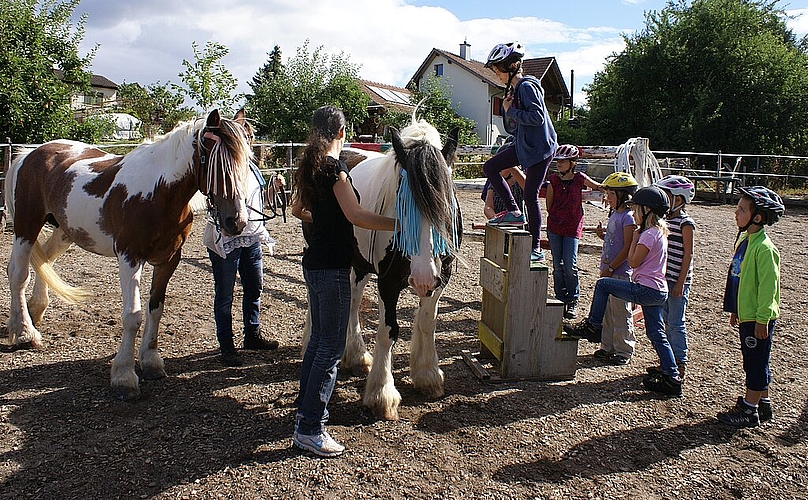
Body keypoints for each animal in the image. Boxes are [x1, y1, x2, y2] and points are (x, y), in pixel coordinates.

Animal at [4, 108, 252, 398]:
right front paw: (124, 374)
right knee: (17, 273)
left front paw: (151, 361)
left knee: (45, 259)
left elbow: (156, 307)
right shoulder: (129, 257)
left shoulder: (169, 260)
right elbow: (133, 316)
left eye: (246, 162)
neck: (158, 192)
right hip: (26, 225)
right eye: (217, 166)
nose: (236, 222)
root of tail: (29, 154)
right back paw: (24, 332)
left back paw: (34, 312)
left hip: (65, 230)